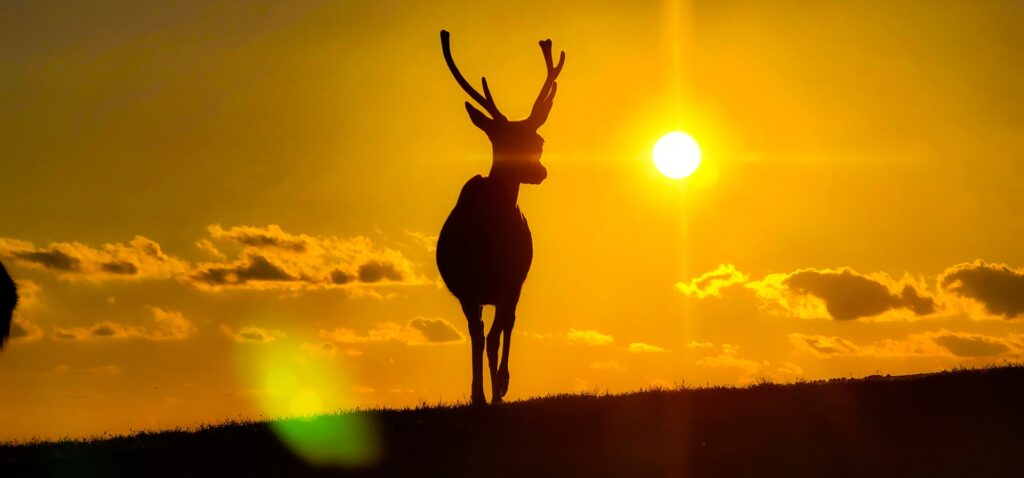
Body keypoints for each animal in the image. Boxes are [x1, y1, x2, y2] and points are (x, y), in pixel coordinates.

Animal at [435, 30, 564, 405]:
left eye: (538, 140)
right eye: (504, 142)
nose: (540, 172)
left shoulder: (511, 283)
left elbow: (497, 335)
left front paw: (498, 389)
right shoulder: (468, 289)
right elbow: (478, 336)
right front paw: (478, 394)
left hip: (513, 286)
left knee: (506, 326)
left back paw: (502, 383)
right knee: (485, 332)